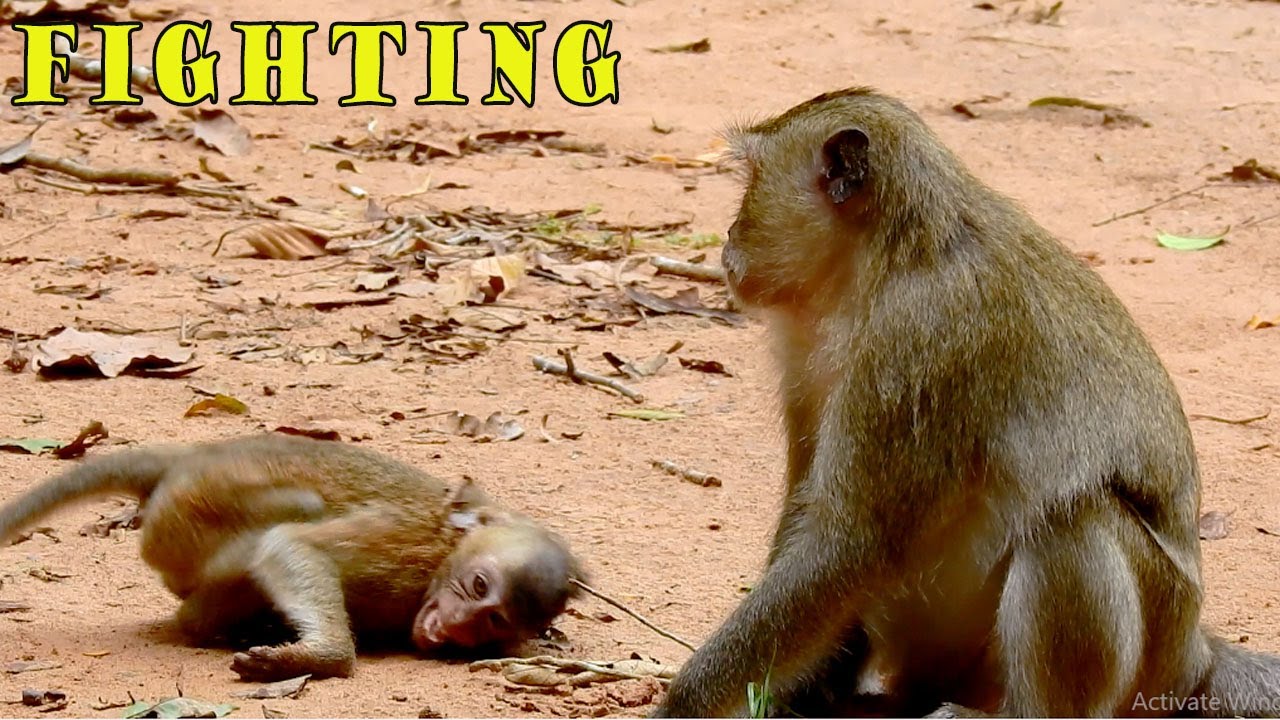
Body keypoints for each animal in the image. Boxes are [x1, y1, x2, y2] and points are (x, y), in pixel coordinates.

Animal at [0, 433, 584, 682]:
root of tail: (191, 457)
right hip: (183, 519)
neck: (442, 561)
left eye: (493, 622)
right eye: (477, 586)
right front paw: (322, 657)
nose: (458, 625)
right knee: (290, 521)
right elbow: (294, 546)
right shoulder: (401, 553)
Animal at [652, 87, 1280, 718]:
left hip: (1154, 644)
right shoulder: (802, 345)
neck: (887, 258)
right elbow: (810, 505)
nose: (730, 234)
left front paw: (686, 702)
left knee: (1072, 521)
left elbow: (850, 544)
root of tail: (1197, 657)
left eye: (751, 177)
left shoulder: (922, 334)